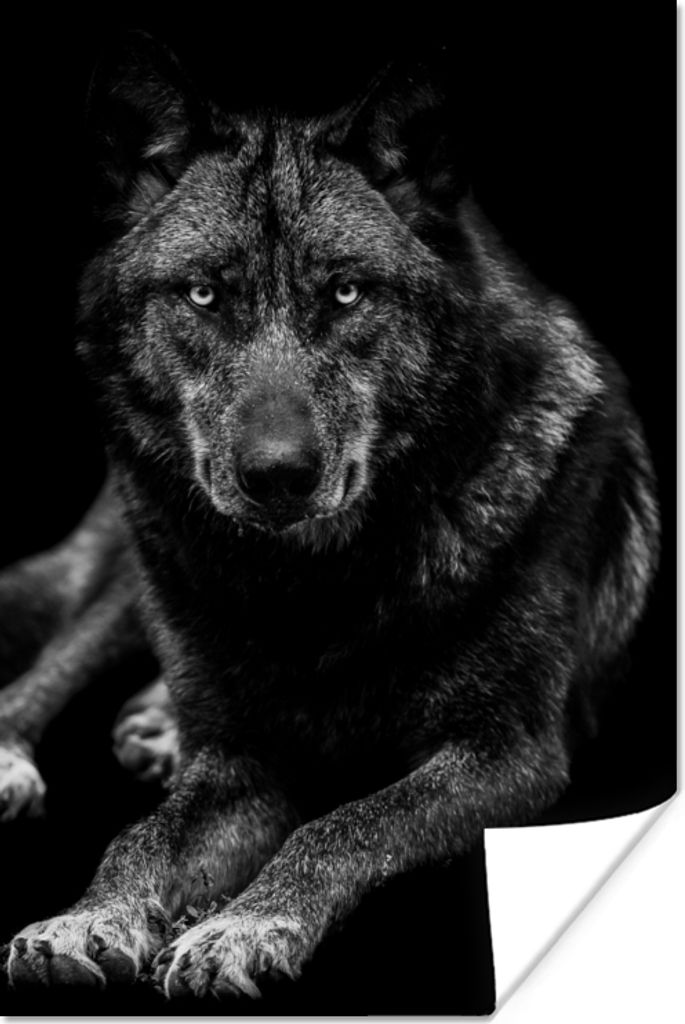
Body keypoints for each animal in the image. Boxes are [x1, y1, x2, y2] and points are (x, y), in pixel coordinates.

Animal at [3, 32, 659, 999]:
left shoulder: (508, 752)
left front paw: (240, 925)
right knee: (49, 664)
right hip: (144, 560)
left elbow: (345, 822)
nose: (278, 476)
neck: (313, 590)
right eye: (203, 295)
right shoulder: (241, 765)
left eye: (347, 293)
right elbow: (140, 838)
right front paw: (87, 917)